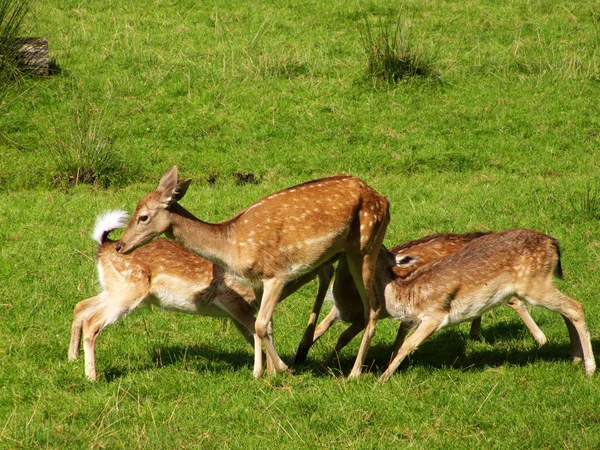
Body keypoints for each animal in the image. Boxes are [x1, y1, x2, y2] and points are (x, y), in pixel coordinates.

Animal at [68, 210, 260, 380]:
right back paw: (92, 376)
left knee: (81, 306)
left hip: (114, 288)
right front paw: (260, 373)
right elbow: (257, 330)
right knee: (91, 321)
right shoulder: (231, 299)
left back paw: (73, 358)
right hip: (127, 290)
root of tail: (104, 245)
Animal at [116, 167, 390, 378]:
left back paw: (354, 372)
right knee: (336, 282)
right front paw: (265, 373)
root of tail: (384, 200)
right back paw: (307, 350)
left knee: (374, 307)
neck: (231, 247)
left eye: (143, 216)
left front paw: (283, 369)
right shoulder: (256, 283)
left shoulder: (276, 274)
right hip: (341, 252)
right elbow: (265, 325)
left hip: (365, 245)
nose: (119, 245)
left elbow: (259, 325)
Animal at [290, 232, 548, 366]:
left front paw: (327, 364)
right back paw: (474, 334)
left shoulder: (366, 315)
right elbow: (320, 328)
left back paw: (540, 339)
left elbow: (343, 336)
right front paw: (299, 358)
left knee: (514, 300)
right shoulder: (339, 311)